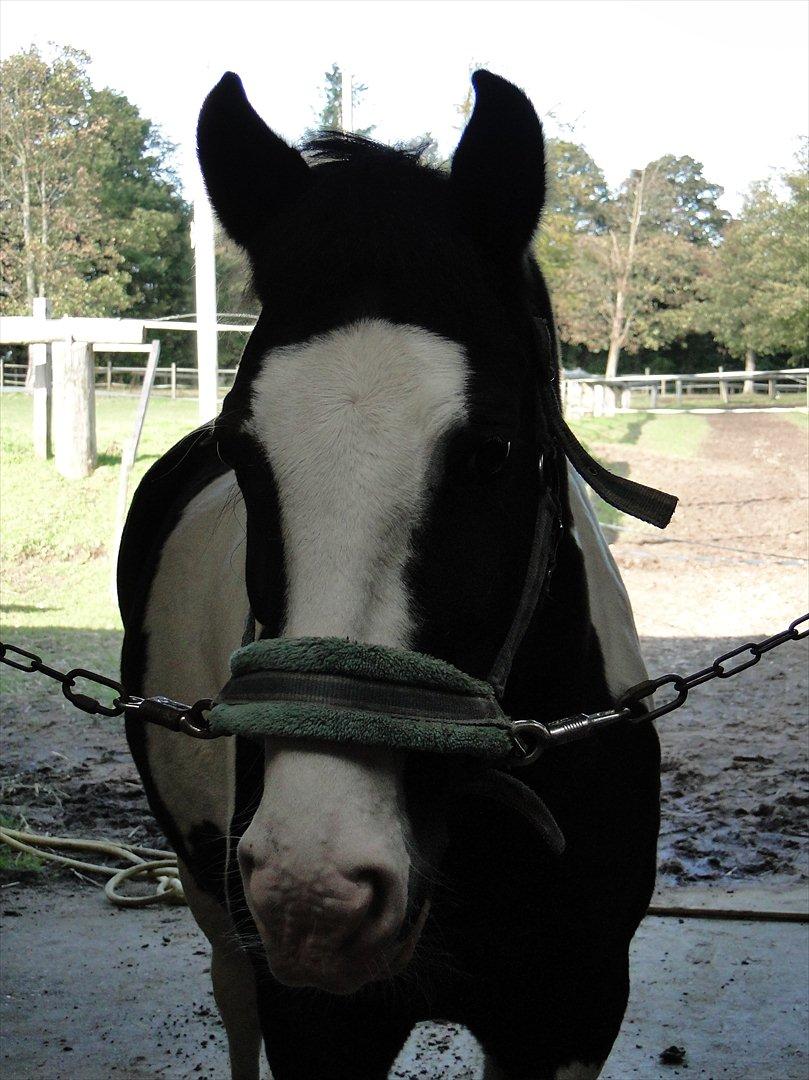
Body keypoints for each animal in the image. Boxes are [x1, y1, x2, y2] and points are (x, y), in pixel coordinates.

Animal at [118, 69, 661, 1080]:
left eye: (493, 452)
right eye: (242, 451)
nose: (315, 891)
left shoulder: (570, 1014)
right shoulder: (319, 1025)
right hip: (215, 909)